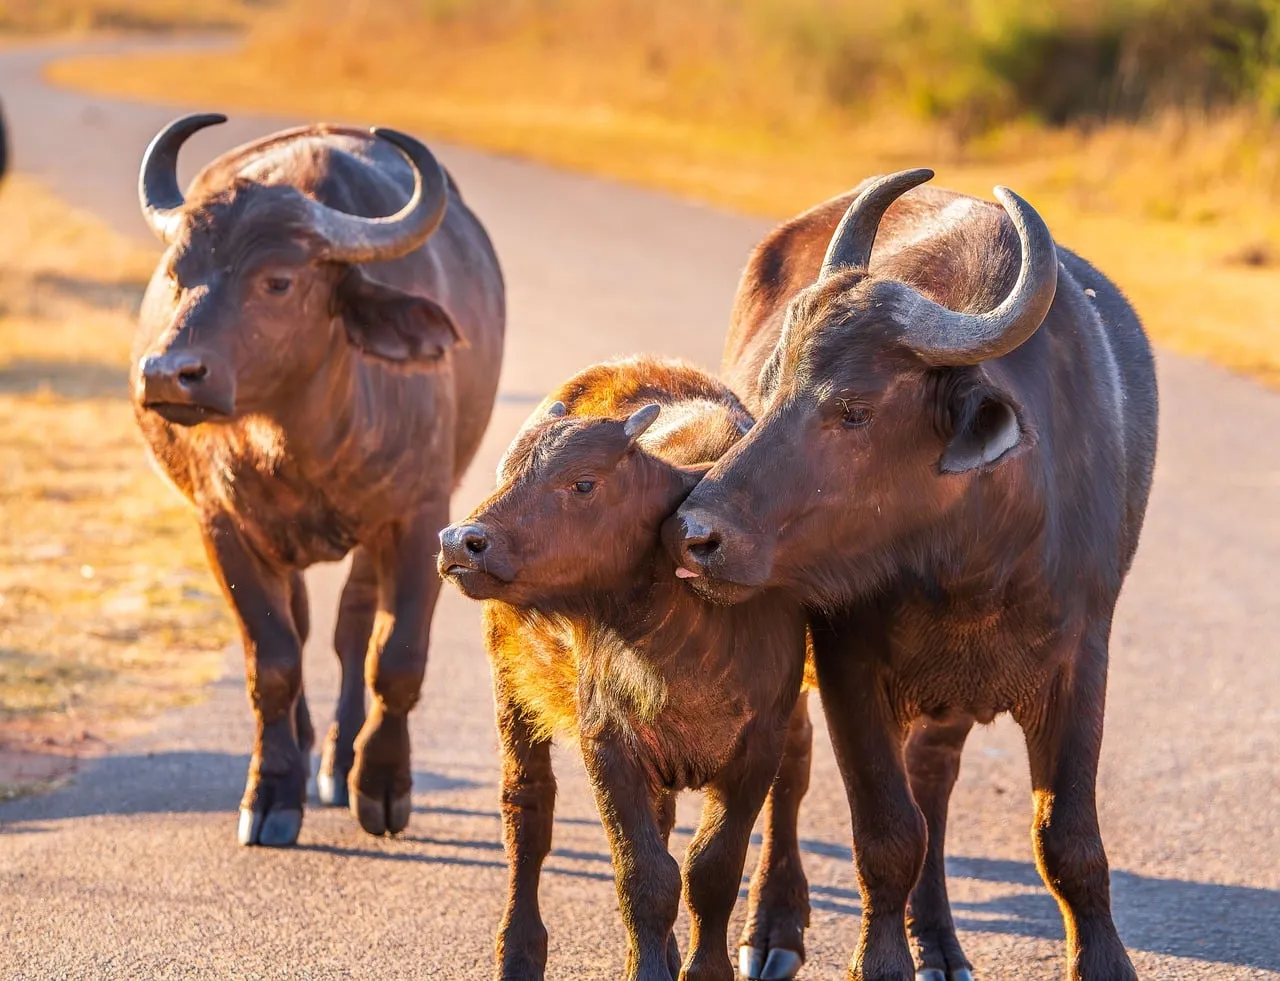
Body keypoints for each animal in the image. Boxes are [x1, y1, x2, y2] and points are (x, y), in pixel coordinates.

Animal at [131, 114, 505, 846]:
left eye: (278, 281)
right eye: (178, 272)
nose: (167, 374)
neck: (303, 439)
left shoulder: (419, 517)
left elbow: (397, 657)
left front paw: (381, 785)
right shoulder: (224, 525)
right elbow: (273, 658)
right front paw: (272, 793)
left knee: (351, 627)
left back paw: (337, 758)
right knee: (302, 631)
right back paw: (305, 751)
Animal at [438, 357, 810, 981]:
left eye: (584, 483)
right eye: (508, 472)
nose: (460, 542)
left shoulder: (760, 747)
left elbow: (711, 870)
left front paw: (701, 967)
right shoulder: (608, 743)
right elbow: (645, 877)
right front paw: (650, 967)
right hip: (511, 686)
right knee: (527, 814)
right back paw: (518, 951)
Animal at [667, 171, 1155, 980]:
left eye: (854, 411)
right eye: (771, 386)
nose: (695, 533)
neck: (971, 567)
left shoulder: (1083, 657)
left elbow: (1069, 841)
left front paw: (1104, 960)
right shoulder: (845, 657)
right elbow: (888, 834)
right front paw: (882, 957)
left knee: (934, 780)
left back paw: (941, 941)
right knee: (794, 764)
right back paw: (774, 924)